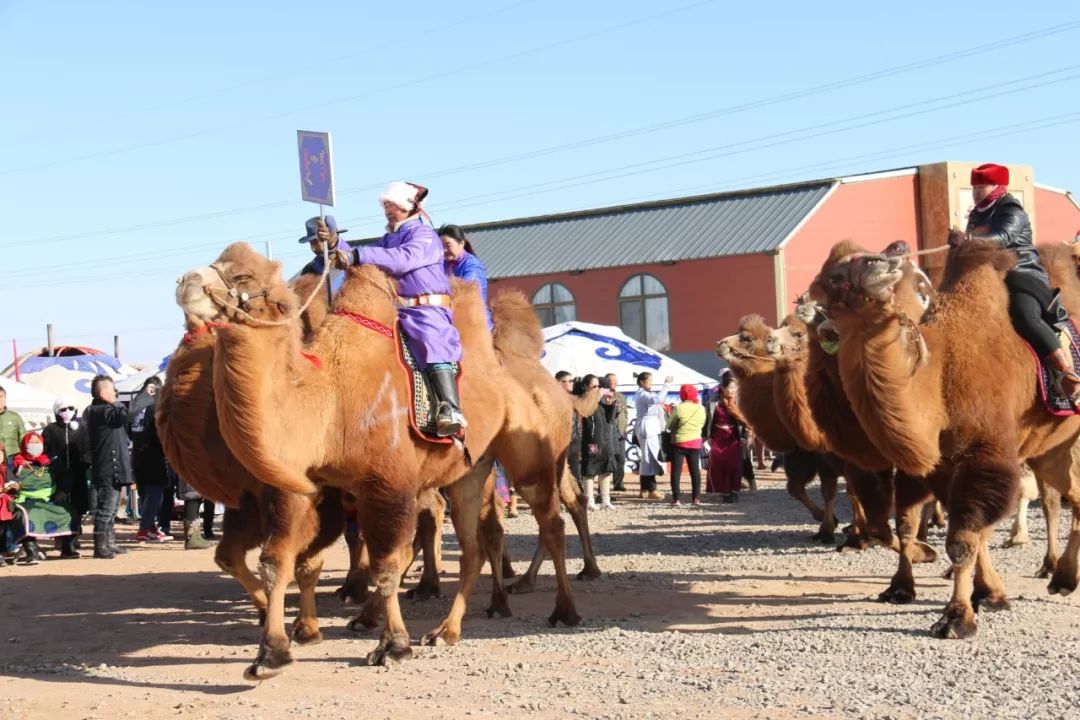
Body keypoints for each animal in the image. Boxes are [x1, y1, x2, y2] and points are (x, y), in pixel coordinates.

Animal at [192, 250, 583, 673]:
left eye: (243, 276)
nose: (186, 282)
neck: (328, 401)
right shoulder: (303, 487)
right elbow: (276, 561)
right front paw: (272, 653)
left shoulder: (388, 484)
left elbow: (386, 563)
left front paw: (392, 645)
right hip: (471, 471)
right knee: (474, 546)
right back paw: (446, 631)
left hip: (534, 461)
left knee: (552, 524)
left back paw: (564, 610)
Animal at [812, 239, 1080, 639]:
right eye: (834, 275)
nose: (881, 261)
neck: (939, 381)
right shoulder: (940, 467)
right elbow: (934, 528)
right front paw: (984, 594)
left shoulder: (985, 456)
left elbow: (962, 539)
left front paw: (957, 617)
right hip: (1050, 449)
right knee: (1073, 493)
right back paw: (1063, 579)